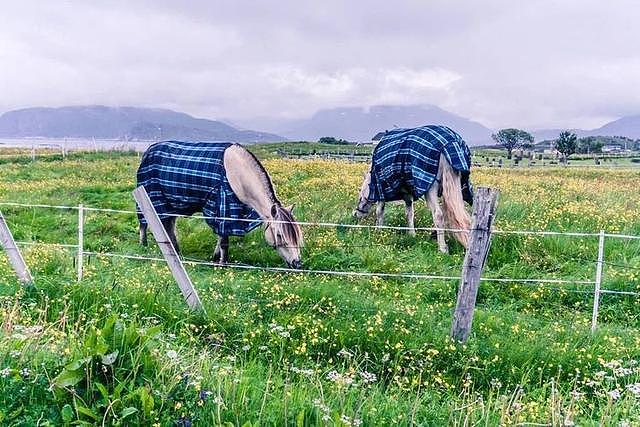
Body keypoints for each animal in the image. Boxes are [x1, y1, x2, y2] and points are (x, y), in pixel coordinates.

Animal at [134, 140, 302, 268]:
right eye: (279, 235)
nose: (297, 263)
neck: (237, 175)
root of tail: (148, 151)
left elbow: (221, 237)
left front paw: (216, 258)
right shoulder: (222, 207)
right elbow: (224, 240)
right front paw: (223, 264)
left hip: (170, 204)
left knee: (168, 226)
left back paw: (175, 251)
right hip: (149, 197)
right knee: (144, 222)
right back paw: (143, 245)